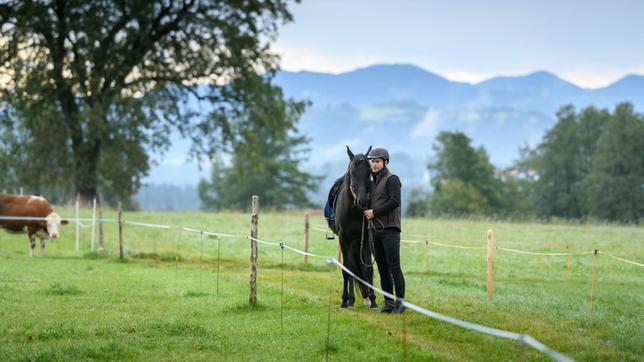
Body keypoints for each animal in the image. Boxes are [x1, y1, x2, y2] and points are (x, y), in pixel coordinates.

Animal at [332, 146, 378, 308]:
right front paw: (344, 300)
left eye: (369, 171)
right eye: (352, 171)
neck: (353, 210)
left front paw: (373, 299)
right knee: (351, 266)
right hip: (351, 242)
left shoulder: (366, 238)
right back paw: (350, 299)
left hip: (357, 242)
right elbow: (346, 270)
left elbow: (368, 269)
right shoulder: (344, 238)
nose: (362, 200)